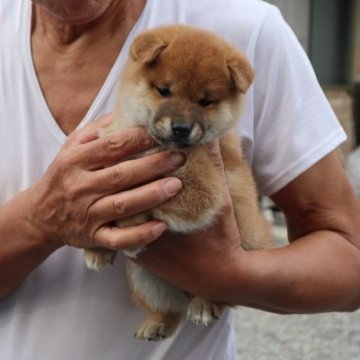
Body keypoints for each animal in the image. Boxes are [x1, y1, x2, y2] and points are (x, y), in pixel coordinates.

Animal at [83, 24, 270, 340]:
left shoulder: (202, 187)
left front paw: (131, 226)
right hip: (147, 281)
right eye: (164, 90)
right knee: (172, 310)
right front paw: (96, 248)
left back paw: (204, 304)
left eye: (205, 101)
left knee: (220, 297)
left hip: (231, 272)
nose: (181, 128)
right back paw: (157, 323)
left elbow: (154, 195)